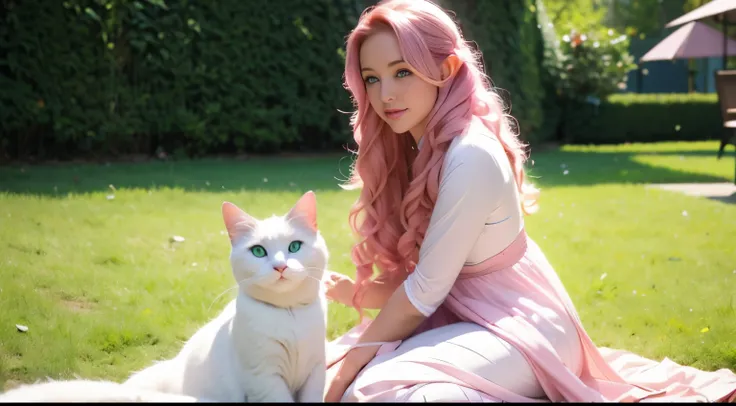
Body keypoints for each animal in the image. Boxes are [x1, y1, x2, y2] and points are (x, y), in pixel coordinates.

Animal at [0, 191, 328, 402]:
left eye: (295, 246)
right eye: (258, 251)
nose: (280, 266)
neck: (289, 315)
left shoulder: (315, 373)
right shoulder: (265, 379)